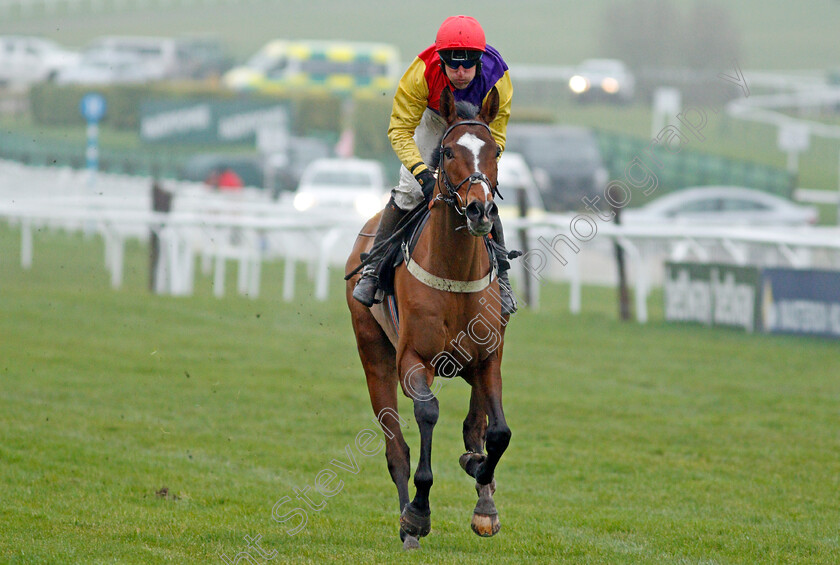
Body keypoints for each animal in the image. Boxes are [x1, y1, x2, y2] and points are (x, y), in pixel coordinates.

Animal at [342, 86, 512, 548]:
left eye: (495, 151)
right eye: (449, 151)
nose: (479, 211)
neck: (455, 273)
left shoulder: (488, 357)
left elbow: (495, 432)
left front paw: (482, 488)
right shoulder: (412, 360)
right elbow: (428, 413)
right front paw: (418, 513)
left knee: (475, 424)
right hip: (373, 355)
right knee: (395, 448)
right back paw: (407, 524)